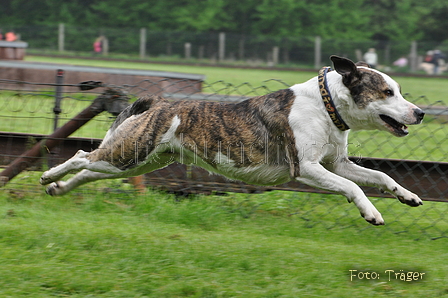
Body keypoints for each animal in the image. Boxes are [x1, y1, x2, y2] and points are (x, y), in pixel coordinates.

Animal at [40, 56, 426, 225]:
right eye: (387, 92)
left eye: (399, 90)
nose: (420, 112)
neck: (325, 105)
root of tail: (157, 102)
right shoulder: (306, 168)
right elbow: (355, 187)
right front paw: (372, 213)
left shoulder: (338, 163)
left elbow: (381, 176)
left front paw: (407, 196)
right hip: (131, 152)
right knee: (80, 155)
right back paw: (48, 176)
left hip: (138, 161)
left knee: (88, 171)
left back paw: (59, 188)